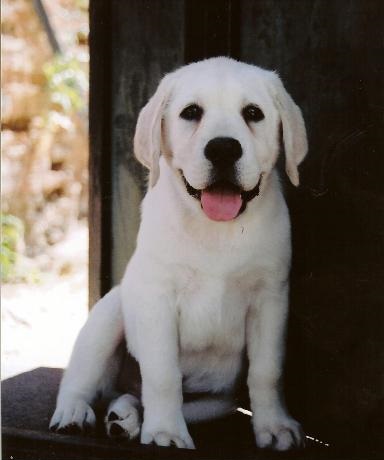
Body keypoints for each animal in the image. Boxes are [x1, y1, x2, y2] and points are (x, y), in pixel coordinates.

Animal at [49, 55, 308, 452]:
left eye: (253, 113)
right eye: (191, 112)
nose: (223, 149)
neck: (215, 230)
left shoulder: (270, 298)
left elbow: (267, 371)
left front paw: (275, 425)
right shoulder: (157, 297)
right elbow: (162, 373)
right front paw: (166, 432)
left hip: (218, 401)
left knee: (136, 395)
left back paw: (125, 417)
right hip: (111, 310)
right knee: (83, 379)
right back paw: (75, 413)